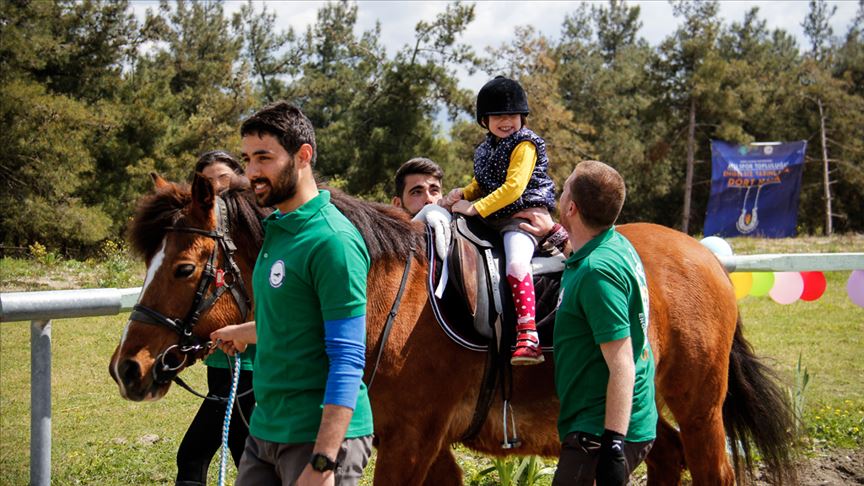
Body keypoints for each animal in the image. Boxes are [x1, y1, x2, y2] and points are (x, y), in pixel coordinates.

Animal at [109, 173, 796, 485]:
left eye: (184, 267)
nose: (128, 367)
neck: (386, 298)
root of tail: (706, 257)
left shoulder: (412, 439)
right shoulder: (425, 441)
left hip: (700, 404)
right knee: (666, 455)